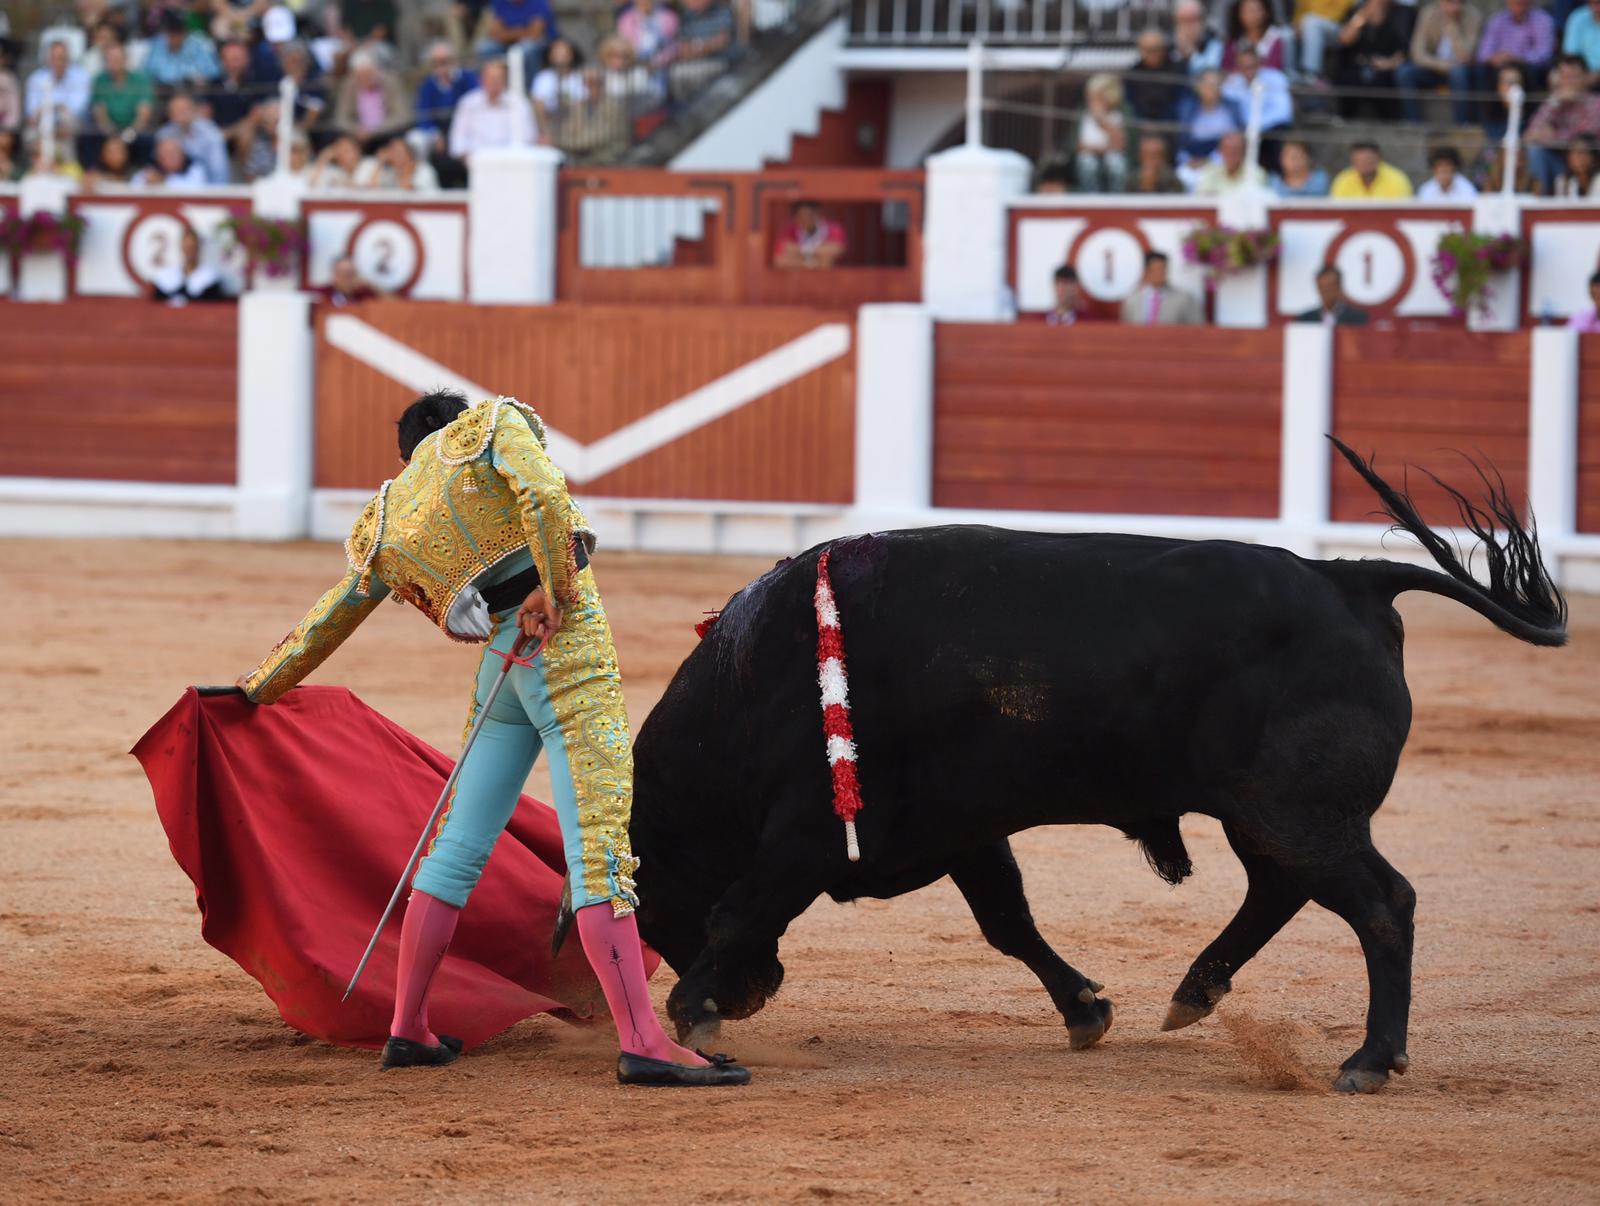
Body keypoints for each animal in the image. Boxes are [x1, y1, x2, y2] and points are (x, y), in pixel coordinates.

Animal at [624, 440, 1567, 1093]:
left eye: (649, 898)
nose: (755, 996)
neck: (755, 686)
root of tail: (1349, 579)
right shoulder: (961, 829)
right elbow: (1007, 922)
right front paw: (1087, 1012)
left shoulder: (810, 830)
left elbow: (739, 909)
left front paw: (692, 1012)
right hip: (1265, 815)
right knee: (1281, 889)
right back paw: (1195, 993)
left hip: (1296, 811)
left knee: (1380, 904)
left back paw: (1368, 1059)